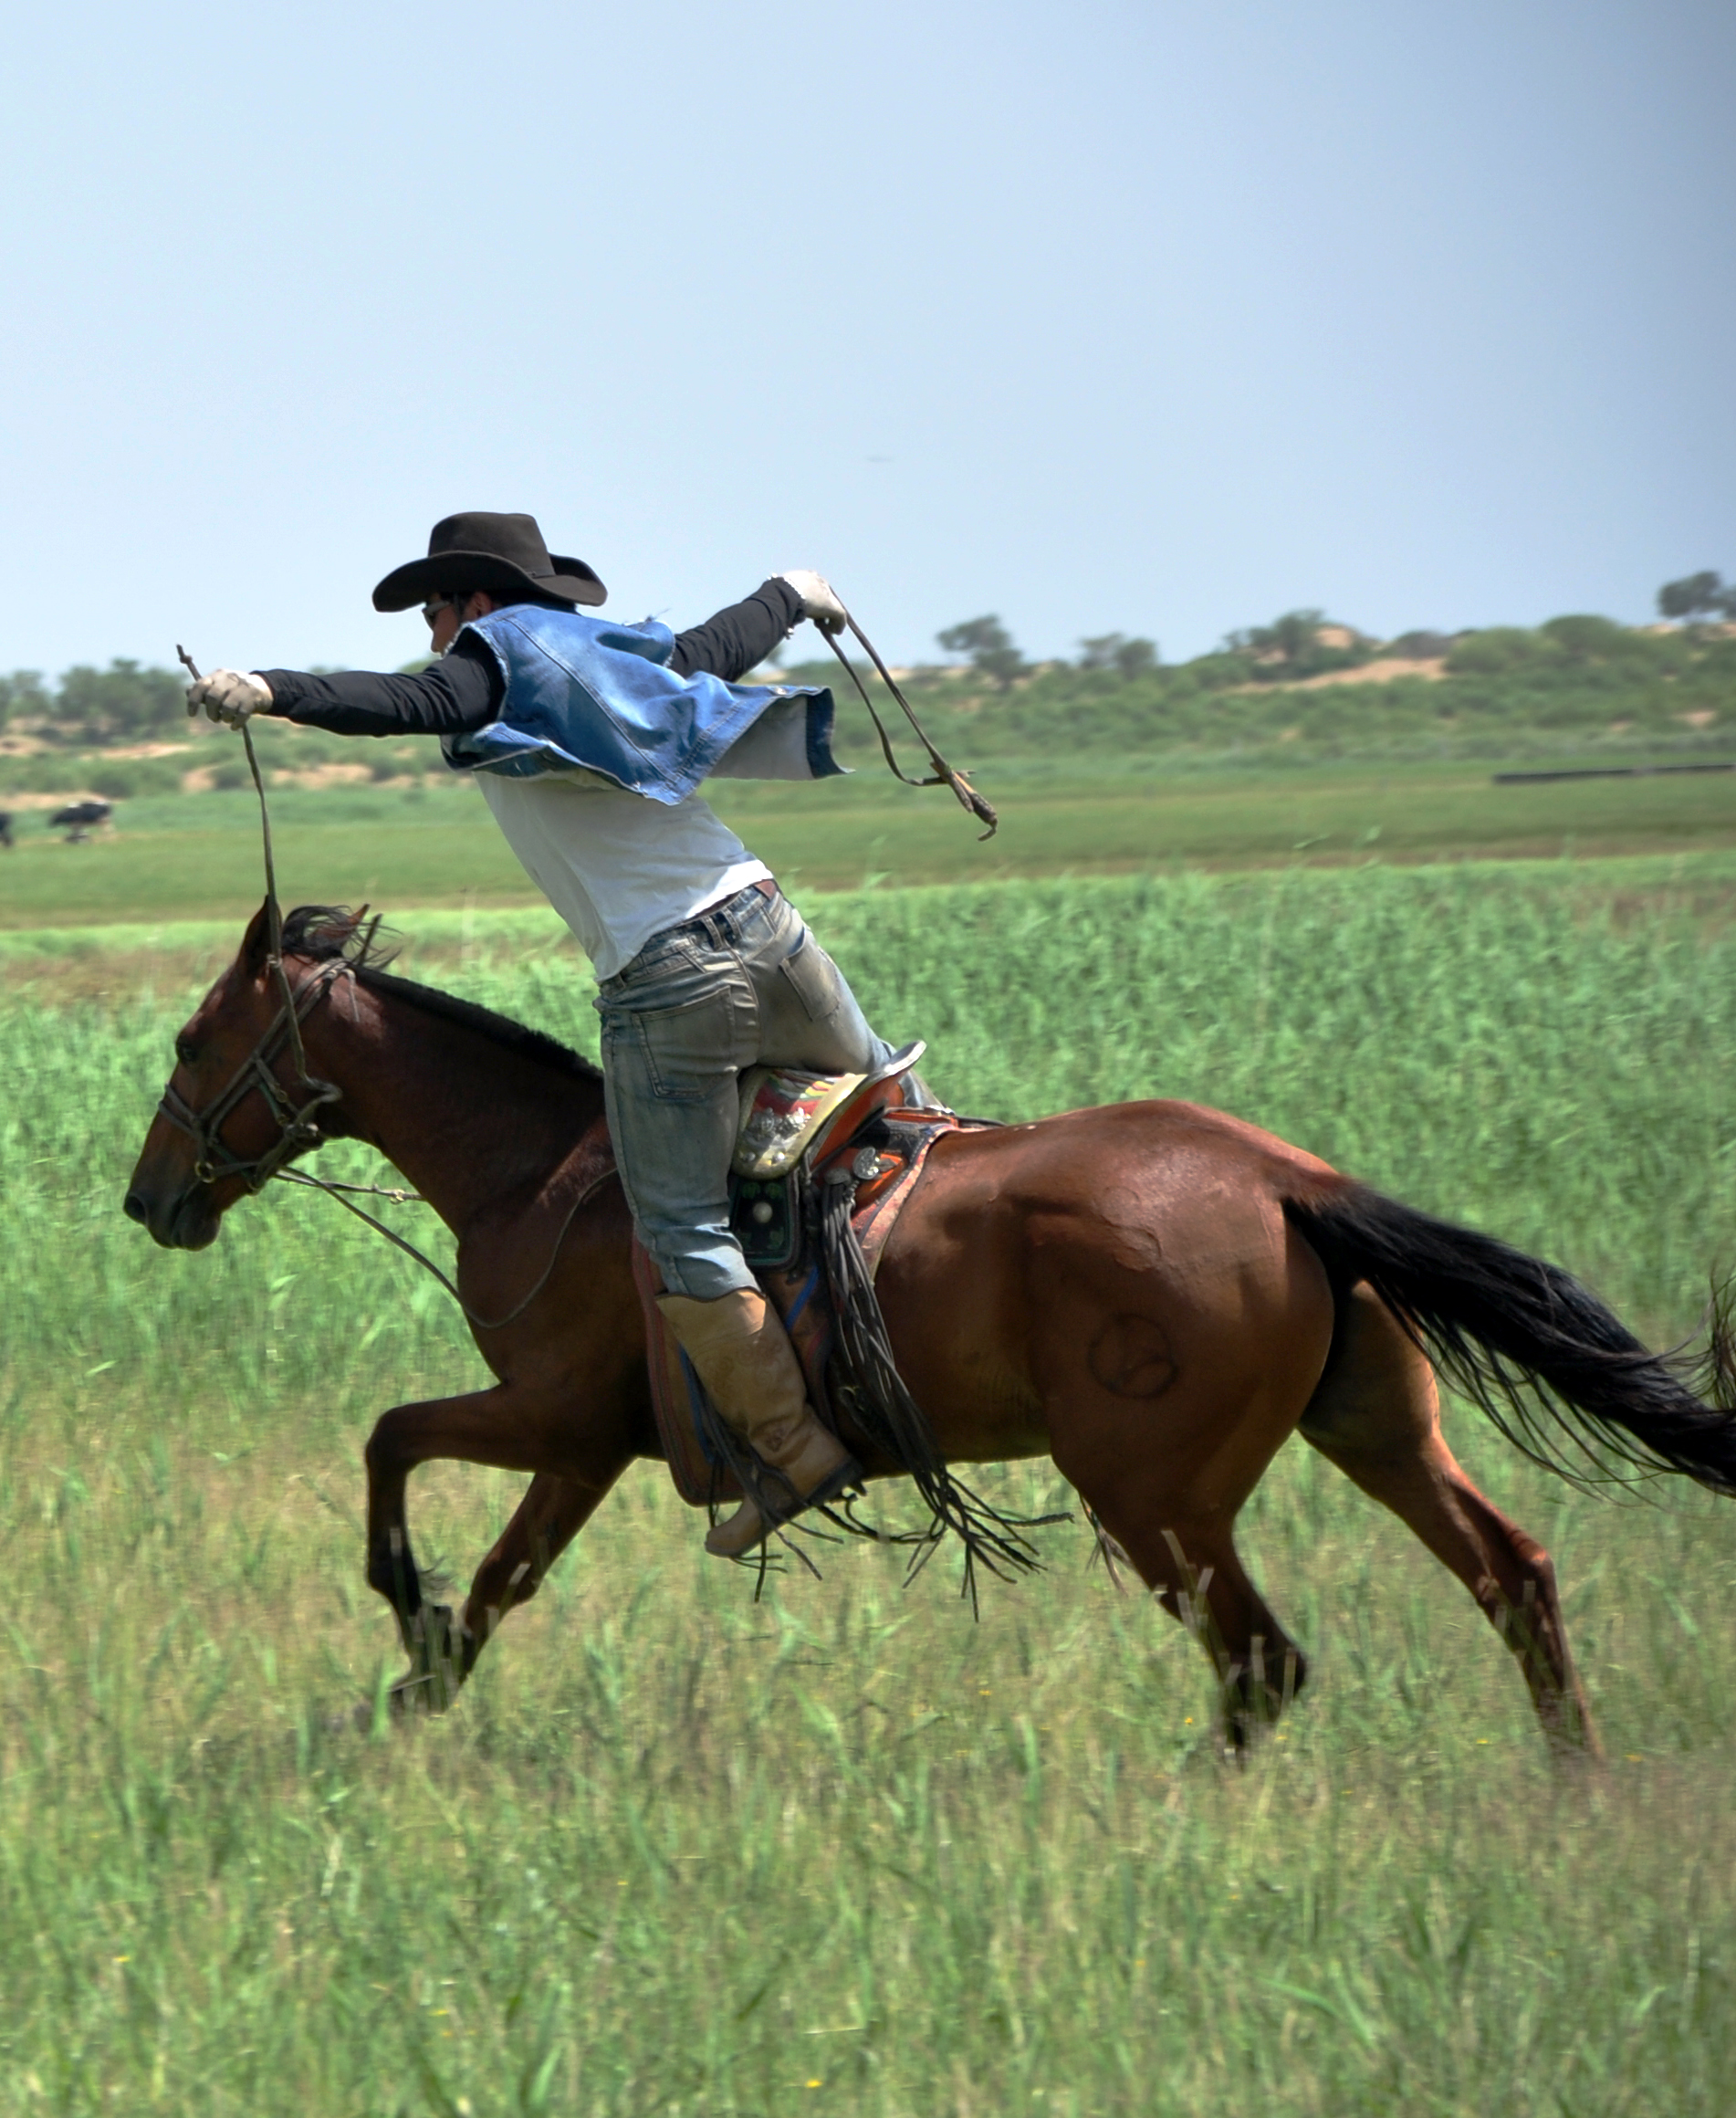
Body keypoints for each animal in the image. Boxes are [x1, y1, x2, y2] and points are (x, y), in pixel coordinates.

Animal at [125, 906, 1736, 1753]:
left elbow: (390, 1444)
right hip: (1373, 1430)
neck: (548, 1171)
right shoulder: (585, 1453)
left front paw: (402, 1612)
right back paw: (1572, 1782)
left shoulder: (558, 1418)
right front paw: (421, 1682)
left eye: (193, 1042)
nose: (149, 1198)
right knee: (1510, 1576)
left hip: (1154, 1497)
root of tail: (1290, 1181)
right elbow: (504, 1580)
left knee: (1260, 1662)